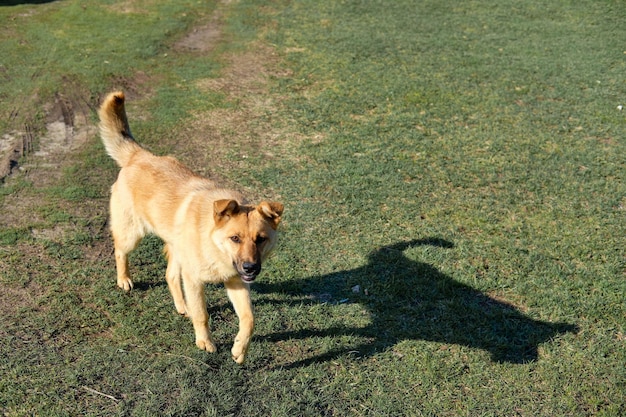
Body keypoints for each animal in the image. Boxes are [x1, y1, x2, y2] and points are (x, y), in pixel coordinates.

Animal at [98, 90, 282, 360]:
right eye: (235, 238)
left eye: (261, 239)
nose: (250, 268)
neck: (213, 244)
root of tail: (140, 155)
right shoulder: (195, 280)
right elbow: (202, 314)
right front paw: (204, 342)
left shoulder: (236, 282)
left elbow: (249, 319)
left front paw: (239, 348)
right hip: (132, 234)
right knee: (120, 251)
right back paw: (124, 280)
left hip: (177, 251)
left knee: (170, 275)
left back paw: (181, 305)